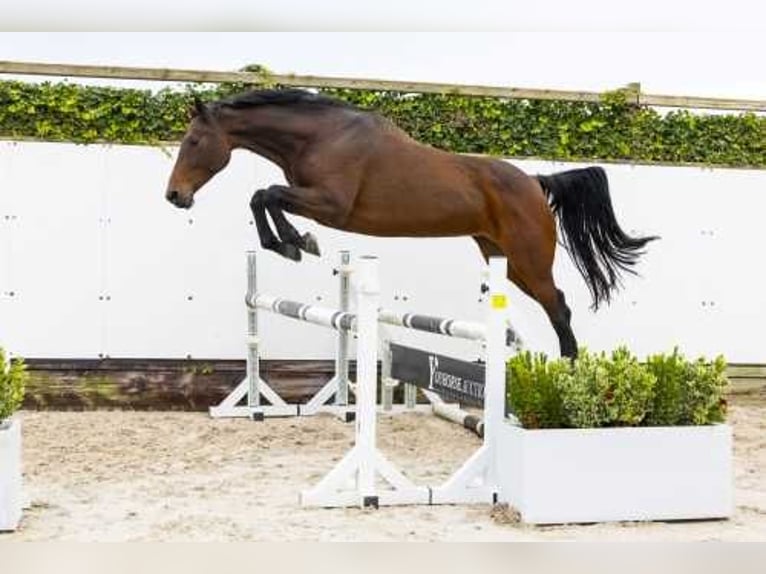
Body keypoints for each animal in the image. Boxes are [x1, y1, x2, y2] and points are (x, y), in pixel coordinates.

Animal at [166, 89, 660, 360]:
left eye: (194, 142)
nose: (174, 196)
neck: (321, 137)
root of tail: (536, 182)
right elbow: (262, 196)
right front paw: (292, 243)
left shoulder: (331, 205)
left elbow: (266, 194)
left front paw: (294, 241)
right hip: (503, 258)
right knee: (555, 304)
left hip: (529, 260)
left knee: (558, 306)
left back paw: (567, 369)